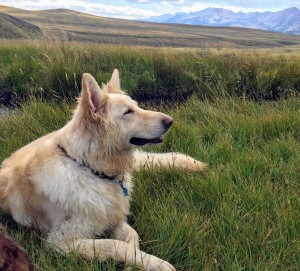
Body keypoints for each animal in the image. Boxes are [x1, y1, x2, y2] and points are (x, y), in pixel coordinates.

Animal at [0, 70, 206, 271]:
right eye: (128, 112)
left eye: (137, 106)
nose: (170, 121)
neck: (91, 169)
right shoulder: (60, 242)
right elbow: (115, 244)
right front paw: (153, 263)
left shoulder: (114, 218)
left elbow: (132, 235)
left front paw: (136, 262)